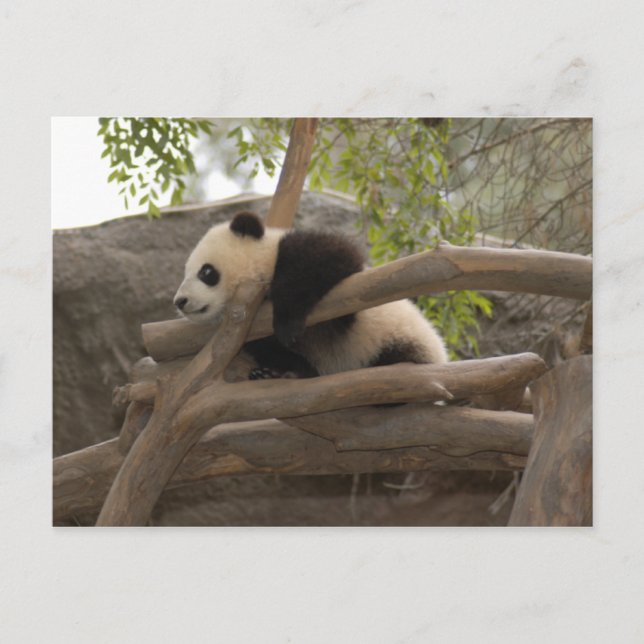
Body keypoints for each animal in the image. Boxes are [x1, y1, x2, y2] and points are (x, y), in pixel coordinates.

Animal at [173, 211, 448, 380]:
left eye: (206, 272)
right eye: (184, 272)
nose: (180, 302)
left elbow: (327, 259)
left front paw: (287, 324)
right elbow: (273, 350)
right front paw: (282, 368)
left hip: (403, 342)